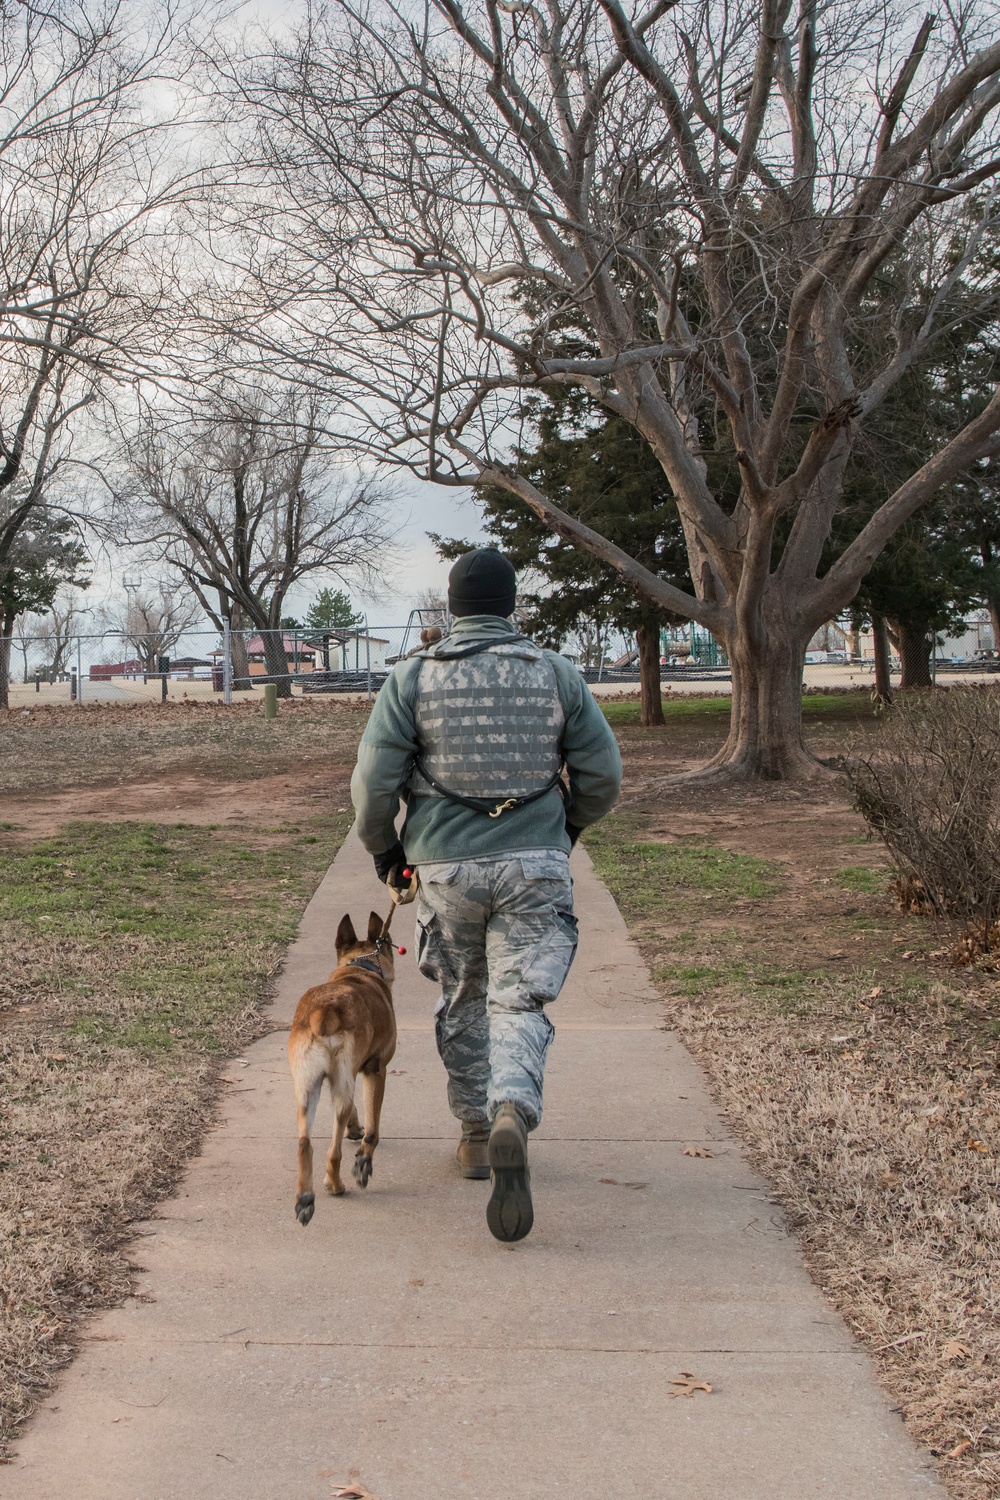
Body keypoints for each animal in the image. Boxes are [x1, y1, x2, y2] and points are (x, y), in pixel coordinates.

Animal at [287, 906, 395, 1224]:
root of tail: (325, 1011)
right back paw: (335, 1185)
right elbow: (373, 1129)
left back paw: (305, 1198)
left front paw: (354, 1128)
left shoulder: (343, 1078)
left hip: (308, 1088)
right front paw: (363, 1161)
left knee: (305, 1143)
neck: (361, 968)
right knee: (333, 1151)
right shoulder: (375, 1070)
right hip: (341, 1082)